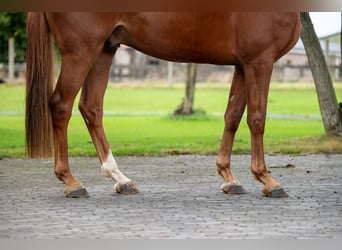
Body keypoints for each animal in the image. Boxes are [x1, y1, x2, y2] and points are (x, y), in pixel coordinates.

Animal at [25, 12, 300, 198]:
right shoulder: (259, 62)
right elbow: (257, 118)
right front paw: (268, 180)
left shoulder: (243, 65)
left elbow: (232, 115)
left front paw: (229, 179)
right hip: (81, 52)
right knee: (61, 105)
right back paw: (72, 183)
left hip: (104, 50)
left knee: (91, 108)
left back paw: (121, 179)